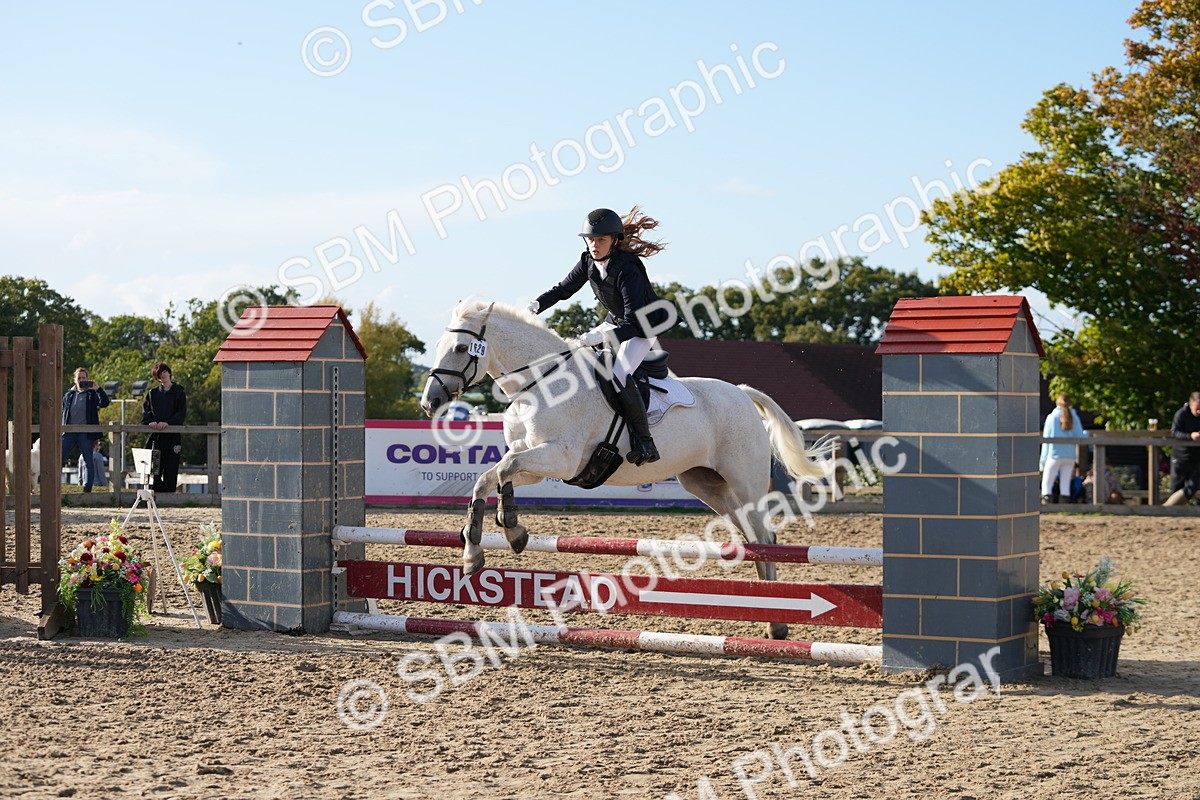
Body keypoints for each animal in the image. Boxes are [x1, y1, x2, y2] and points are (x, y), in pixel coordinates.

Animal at [420, 300, 835, 639]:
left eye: (461, 349)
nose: (430, 402)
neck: (541, 384)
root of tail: (743, 393)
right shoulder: (535, 461)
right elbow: (492, 477)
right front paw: (491, 543)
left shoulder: (560, 457)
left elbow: (501, 469)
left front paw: (501, 535)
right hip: (707, 484)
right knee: (752, 537)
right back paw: (770, 616)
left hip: (744, 481)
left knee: (765, 537)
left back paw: (777, 622)